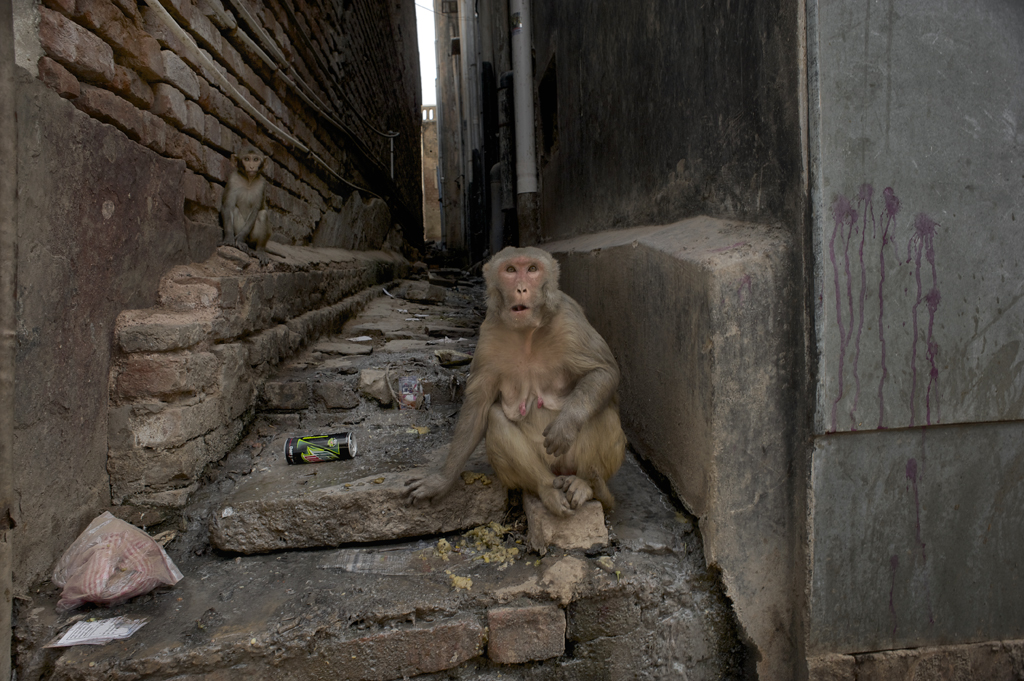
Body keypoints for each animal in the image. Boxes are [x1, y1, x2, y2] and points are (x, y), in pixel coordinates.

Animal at [405, 244, 626, 516]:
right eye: (510, 270)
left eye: (532, 269)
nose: (521, 288)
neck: (528, 331)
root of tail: (559, 471)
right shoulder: (489, 333)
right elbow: (478, 409)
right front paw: (442, 480)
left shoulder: (569, 319)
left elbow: (603, 370)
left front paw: (565, 425)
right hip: (544, 465)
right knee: (496, 419)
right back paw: (548, 489)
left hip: (570, 460)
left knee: (601, 410)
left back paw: (585, 485)